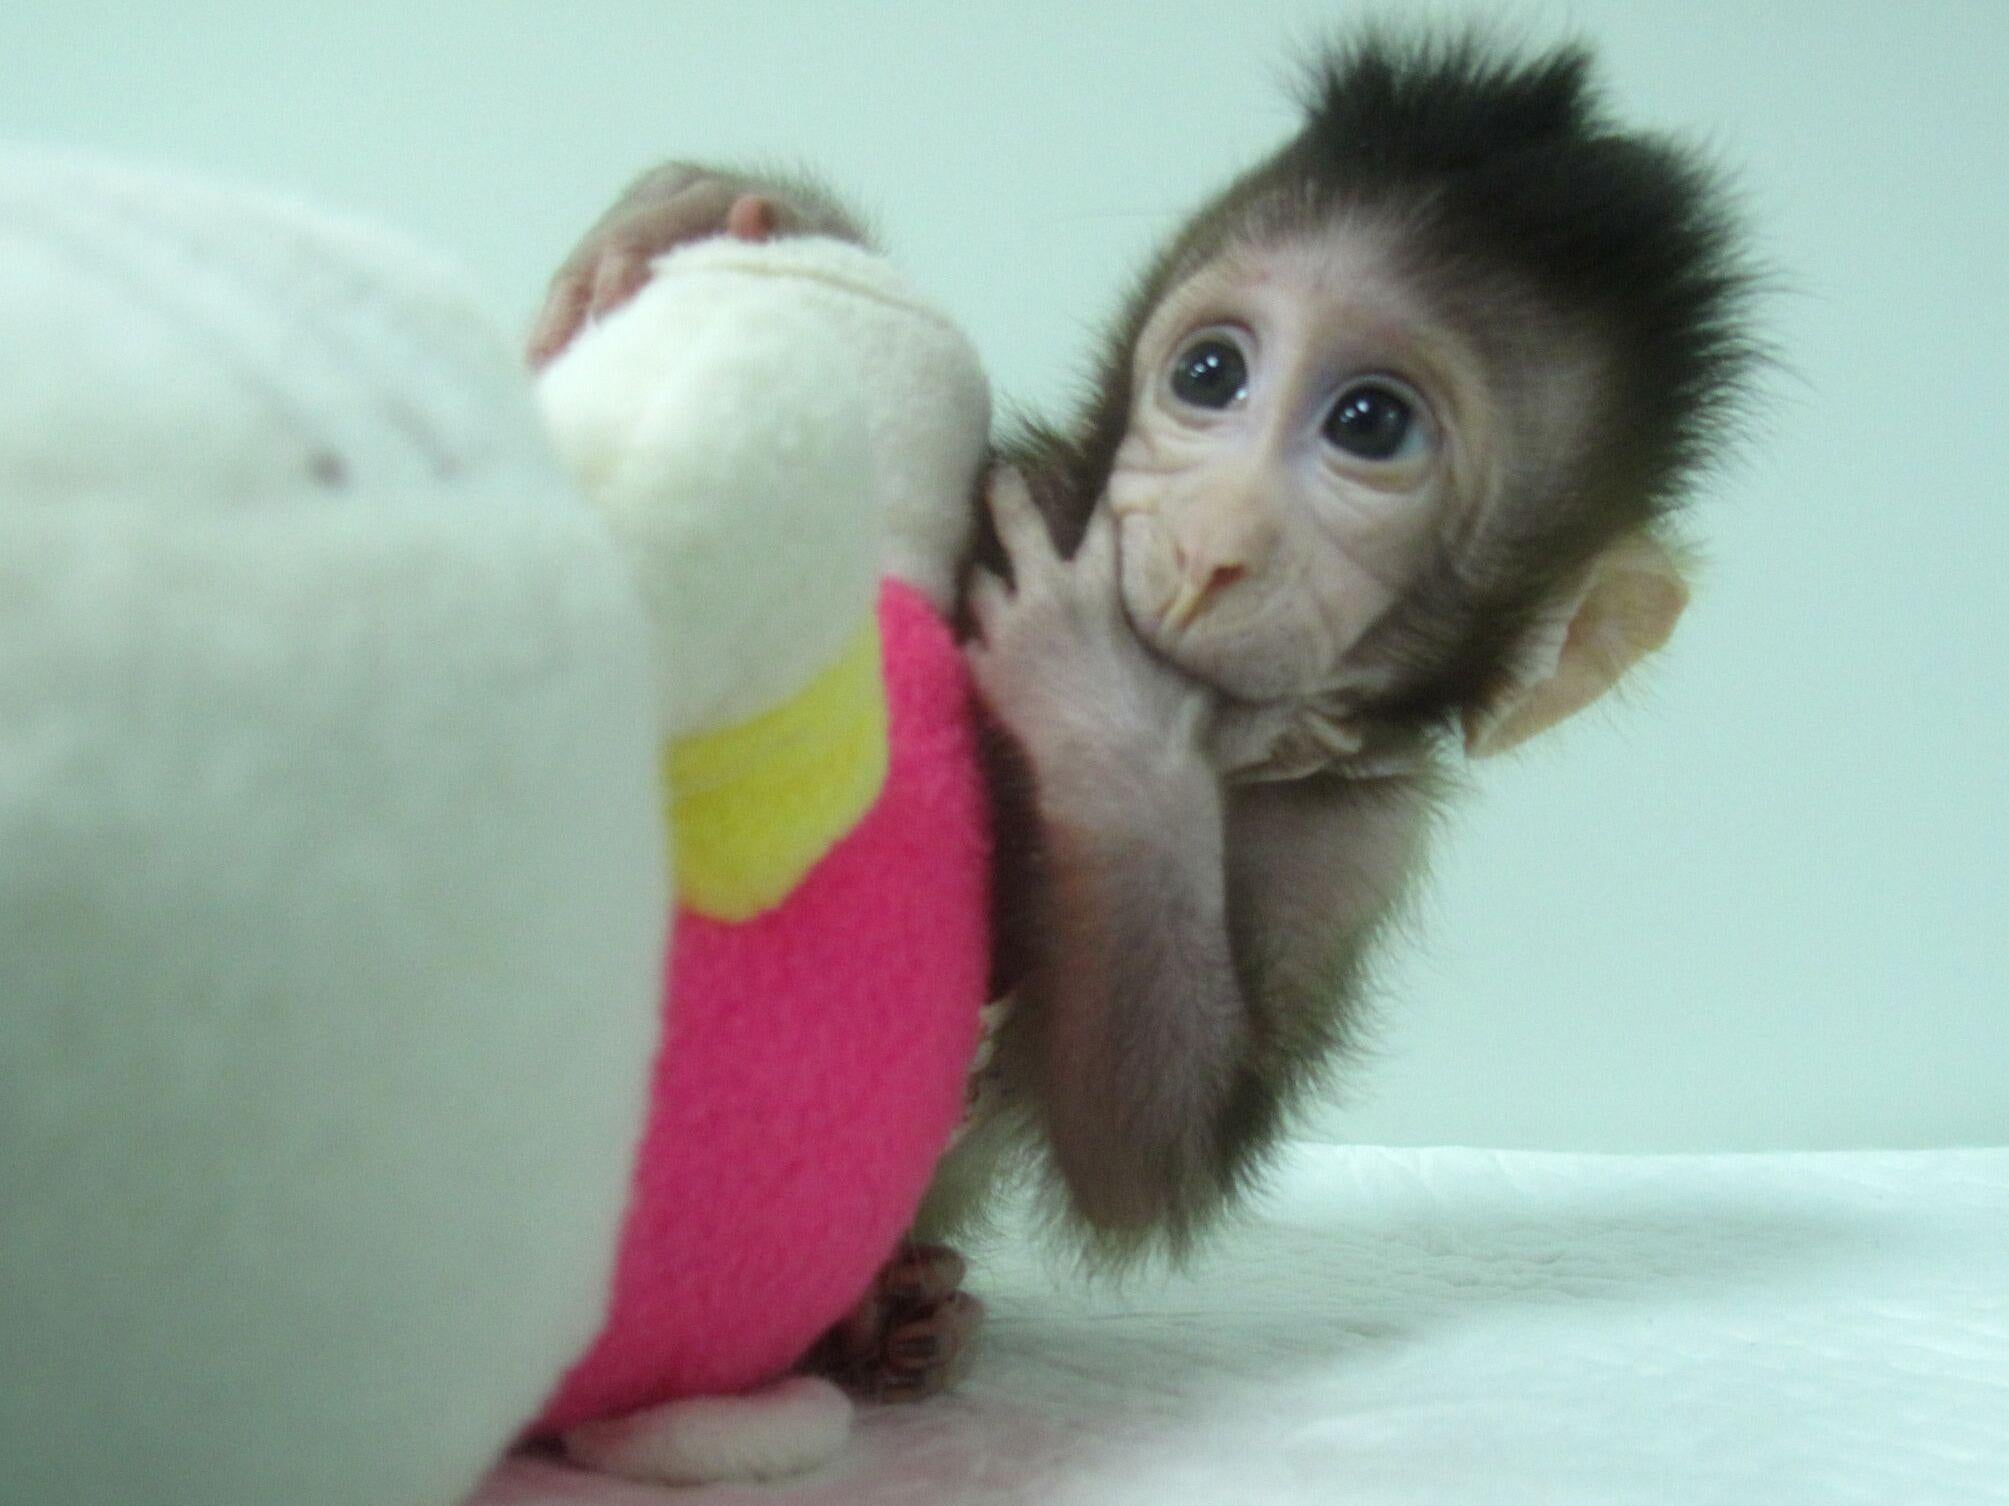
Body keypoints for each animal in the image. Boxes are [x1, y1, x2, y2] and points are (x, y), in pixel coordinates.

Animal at [529, 30, 1754, 1409]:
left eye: (1370, 423)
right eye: (1209, 373)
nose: (1211, 545)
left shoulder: (1359, 841)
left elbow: (1139, 1158)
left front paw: (1105, 716)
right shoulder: (1031, 491)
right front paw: (715, 206)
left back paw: (890, 1324)